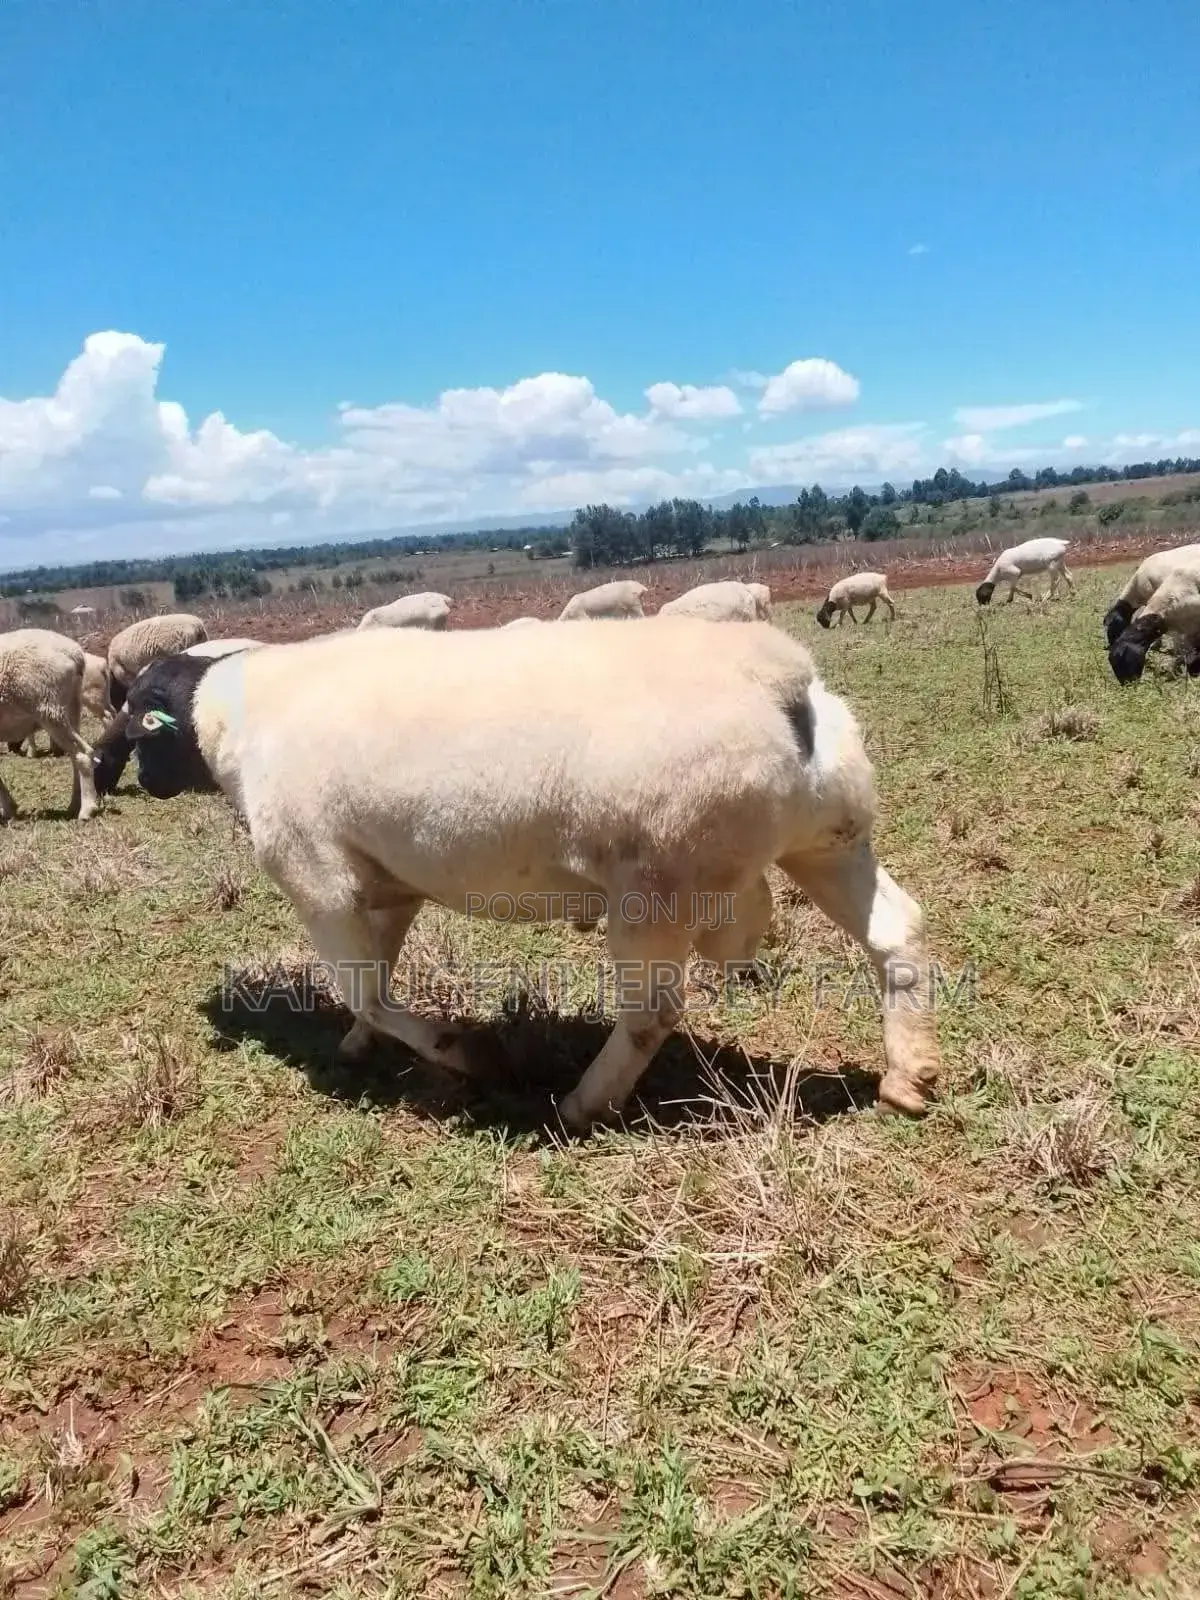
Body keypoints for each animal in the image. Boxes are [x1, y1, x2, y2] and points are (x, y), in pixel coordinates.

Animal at [0, 629, 100, 823]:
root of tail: (74, 652)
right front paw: (9, 809)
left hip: (49, 709)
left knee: (83, 754)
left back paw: (87, 810)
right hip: (71, 708)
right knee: (75, 757)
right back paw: (74, 805)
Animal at [98, 617, 941, 1129]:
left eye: (140, 717)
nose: (143, 781)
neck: (233, 715)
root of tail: (783, 680)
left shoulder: (318, 878)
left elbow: (366, 987)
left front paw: (462, 1053)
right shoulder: (387, 880)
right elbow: (379, 976)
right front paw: (358, 1046)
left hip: (658, 888)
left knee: (650, 1014)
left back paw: (582, 1105)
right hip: (829, 840)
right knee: (896, 931)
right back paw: (910, 1074)